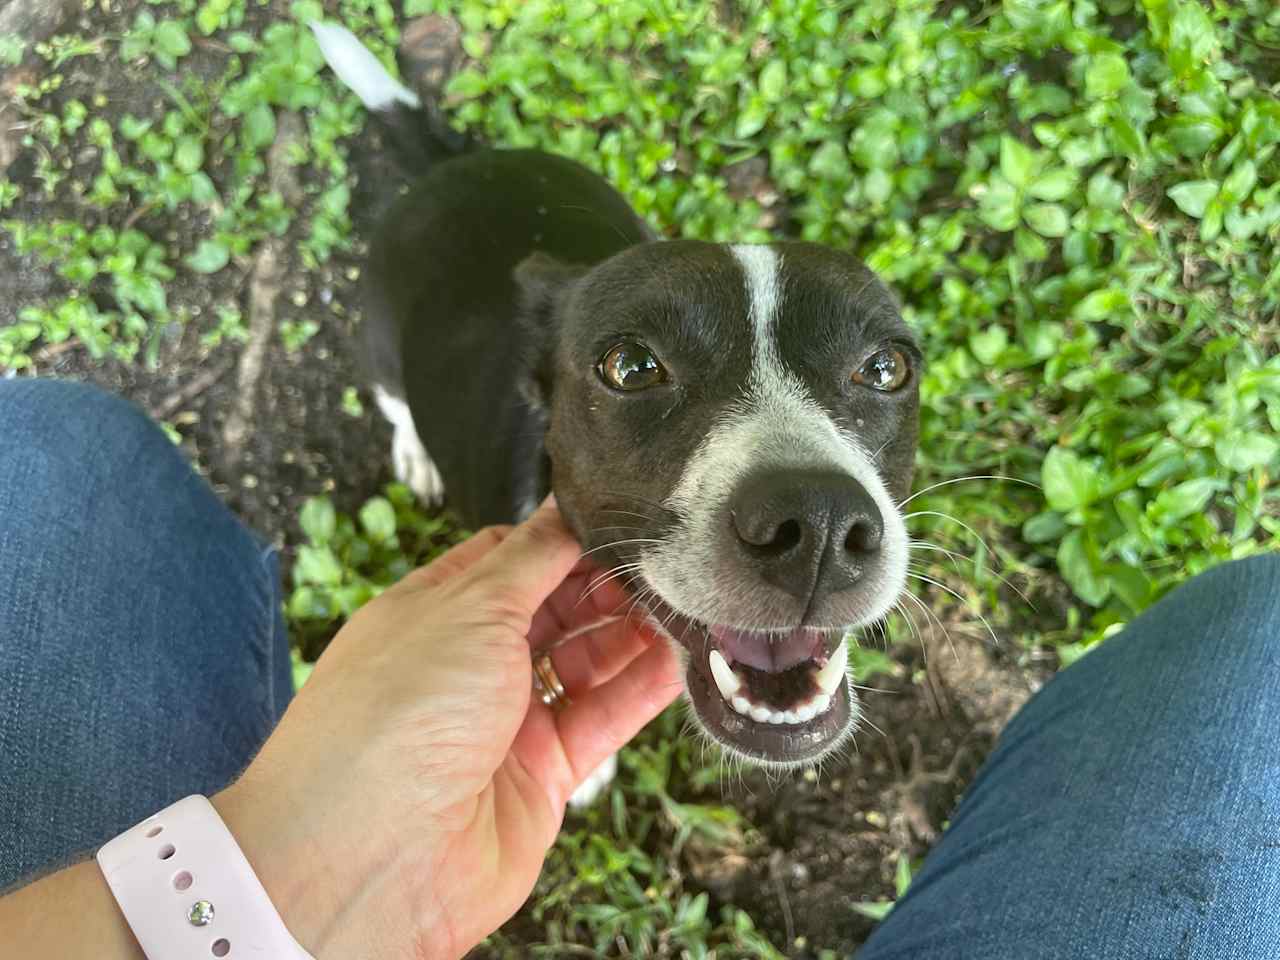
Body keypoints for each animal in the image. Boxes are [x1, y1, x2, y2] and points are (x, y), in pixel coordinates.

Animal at [314, 24, 926, 803]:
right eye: (630, 367)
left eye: (886, 368)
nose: (818, 524)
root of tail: (455, 162)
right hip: (378, 346)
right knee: (395, 404)